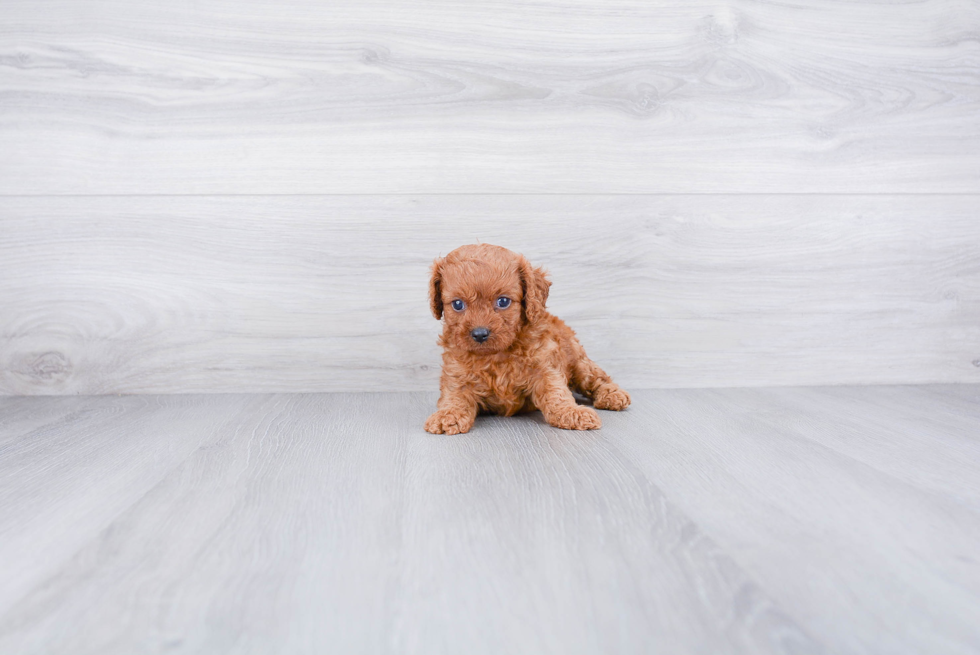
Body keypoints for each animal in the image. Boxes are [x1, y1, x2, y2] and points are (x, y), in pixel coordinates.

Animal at [424, 243, 632, 434]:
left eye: (503, 301)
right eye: (458, 304)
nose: (480, 333)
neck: (496, 354)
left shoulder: (545, 367)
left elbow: (556, 392)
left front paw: (571, 412)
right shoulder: (456, 373)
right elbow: (454, 395)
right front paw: (447, 415)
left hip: (578, 360)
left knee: (597, 377)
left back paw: (612, 395)